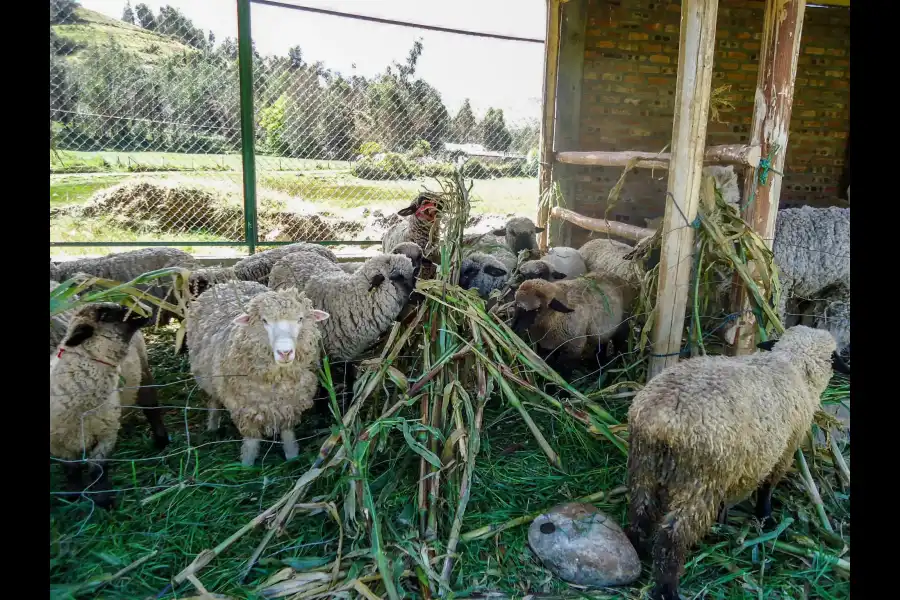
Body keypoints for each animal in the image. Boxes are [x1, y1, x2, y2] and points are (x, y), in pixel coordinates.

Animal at [49, 304, 169, 506]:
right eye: (105, 315)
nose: (144, 309)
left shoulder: (107, 434)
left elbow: (98, 469)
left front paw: (104, 500)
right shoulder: (59, 445)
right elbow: (71, 470)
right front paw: (73, 495)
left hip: (144, 375)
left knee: (151, 409)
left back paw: (162, 441)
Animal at [186, 282, 330, 468]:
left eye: (300, 319)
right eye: (264, 321)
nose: (285, 352)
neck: (277, 381)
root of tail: (227, 283)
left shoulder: (290, 404)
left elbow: (288, 434)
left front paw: (292, 458)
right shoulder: (246, 407)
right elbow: (251, 442)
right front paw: (246, 467)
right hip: (209, 379)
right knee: (214, 402)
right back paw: (212, 426)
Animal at [624, 324, 852, 600]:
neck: (790, 364)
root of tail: (661, 422)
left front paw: (726, 517)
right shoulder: (785, 449)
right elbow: (768, 486)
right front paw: (765, 517)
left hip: (643, 465)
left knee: (641, 511)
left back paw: (637, 551)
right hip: (700, 481)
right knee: (673, 536)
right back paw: (667, 589)